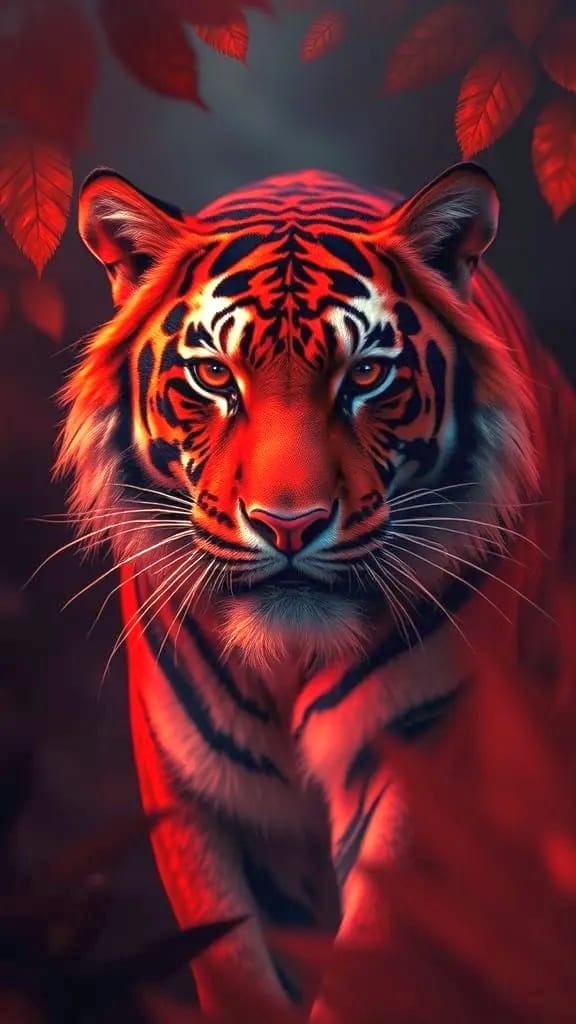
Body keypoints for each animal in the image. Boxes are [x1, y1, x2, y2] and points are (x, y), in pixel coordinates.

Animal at [55, 161, 576, 1018]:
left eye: (366, 374)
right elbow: (236, 970)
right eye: (213, 375)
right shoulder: (203, 792)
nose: (289, 524)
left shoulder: (422, 762)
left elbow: (369, 968)